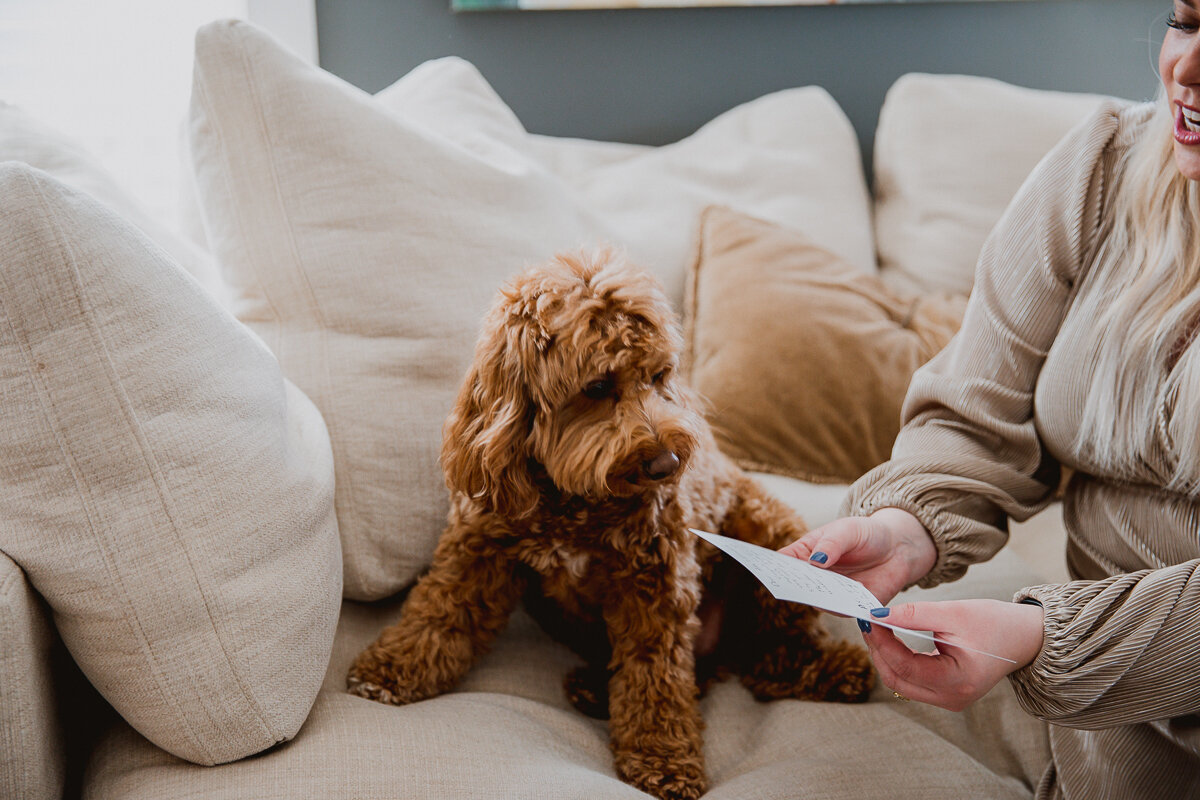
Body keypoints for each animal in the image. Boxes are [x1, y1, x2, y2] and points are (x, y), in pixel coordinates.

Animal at [348, 250, 873, 800]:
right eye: (597, 387)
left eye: (659, 376)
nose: (668, 464)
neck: (573, 499)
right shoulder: (480, 547)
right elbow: (440, 611)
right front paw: (394, 668)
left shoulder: (655, 585)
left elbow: (655, 677)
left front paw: (663, 758)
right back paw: (595, 689)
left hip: (767, 532)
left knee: (774, 649)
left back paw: (835, 670)